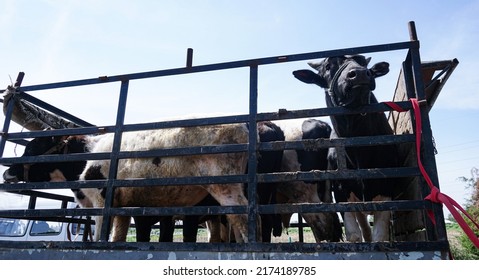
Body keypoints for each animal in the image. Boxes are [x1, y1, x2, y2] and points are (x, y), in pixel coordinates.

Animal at [292, 55, 402, 243]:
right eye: (328, 66)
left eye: (363, 62)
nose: (358, 74)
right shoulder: (341, 192)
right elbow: (354, 235)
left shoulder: (387, 189)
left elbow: (380, 237)